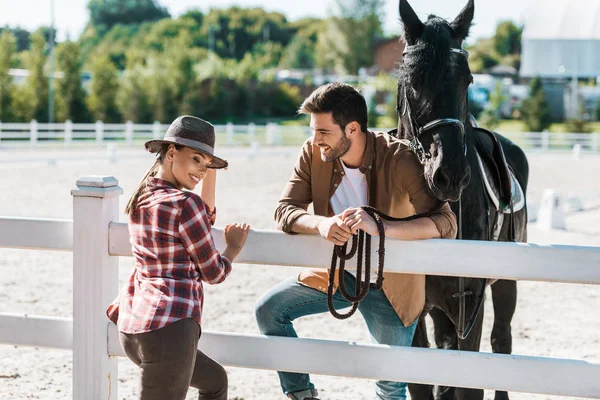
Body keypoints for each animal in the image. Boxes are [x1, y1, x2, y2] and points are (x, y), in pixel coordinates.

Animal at [394, 0, 528, 400]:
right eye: (412, 79)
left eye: (467, 80)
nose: (449, 174)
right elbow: (423, 383)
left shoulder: (472, 305)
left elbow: (471, 381)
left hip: (505, 284)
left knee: (502, 342)